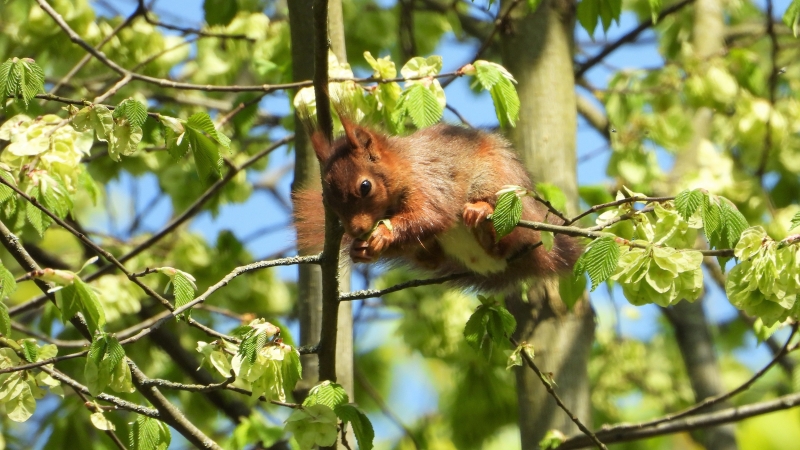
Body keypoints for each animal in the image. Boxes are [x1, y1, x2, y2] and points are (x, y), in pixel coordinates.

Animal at [294, 118, 580, 292]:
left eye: (365, 186)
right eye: (328, 201)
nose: (355, 230)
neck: (404, 166)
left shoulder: (430, 184)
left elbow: (431, 216)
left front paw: (384, 233)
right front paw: (360, 248)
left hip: (500, 187)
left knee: (509, 236)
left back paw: (481, 214)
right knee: (432, 259)